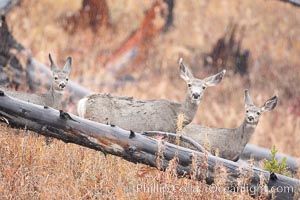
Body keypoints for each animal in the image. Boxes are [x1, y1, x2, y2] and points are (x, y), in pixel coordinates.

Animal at [77, 57, 225, 133]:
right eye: (189, 84)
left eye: (204, 87)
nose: (195, 94)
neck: (176, 114)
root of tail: (83, 102)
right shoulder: (160, 132)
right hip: (96, 119)